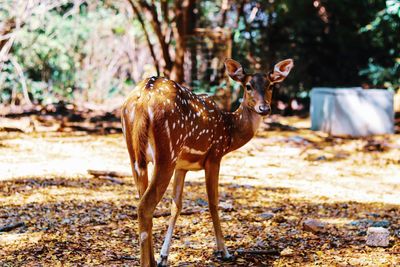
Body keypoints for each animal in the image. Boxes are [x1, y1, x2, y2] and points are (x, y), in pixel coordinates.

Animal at [120, 57, 292, 266]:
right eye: (248, 86)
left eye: (271, 86)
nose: (264, 108)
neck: (229, 132)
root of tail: (142, 100)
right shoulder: (214, 156)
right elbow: (213, 202)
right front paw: (224, 251)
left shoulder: (182, 166)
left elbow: (176, 206)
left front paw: (163, 256)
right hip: (166, 153)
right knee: (145, 205)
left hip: (136, 155)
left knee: (141, 199)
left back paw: (152, 259)